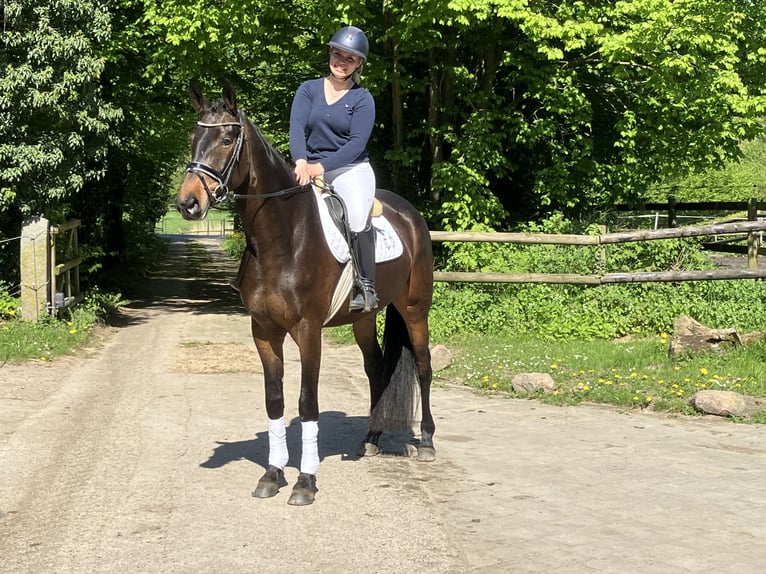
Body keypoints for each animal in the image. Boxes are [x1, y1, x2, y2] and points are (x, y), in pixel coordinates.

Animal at [176, 79, 438, 506]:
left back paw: (428, 442)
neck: (282, 236)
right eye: (193, 137)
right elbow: (275, 401)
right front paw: (272, 473)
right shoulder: (264, 331)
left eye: (228, 138)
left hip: (415, 309)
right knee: (376, 368)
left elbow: (307, 401)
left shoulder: (307, 329)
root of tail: (411, 215)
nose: (188, 203)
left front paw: (305, 481)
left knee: (423, 366)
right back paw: (370, 438)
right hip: (364, 318)